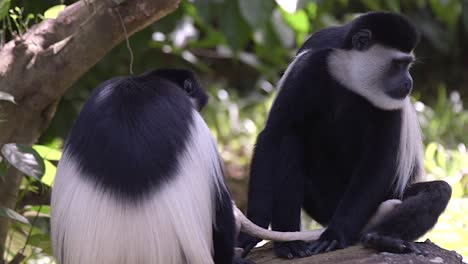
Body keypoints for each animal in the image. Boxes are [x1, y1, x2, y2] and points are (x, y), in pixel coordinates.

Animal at [239, 11, 452, 258]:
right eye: (398, 64)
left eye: (408, 65)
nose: (409, 82)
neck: (349, 76)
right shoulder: (308, 69)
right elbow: (274, 135)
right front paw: (251, 232)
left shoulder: (390, 105)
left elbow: (378, 162)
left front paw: (334, 236)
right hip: (324, 204)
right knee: (290, 141)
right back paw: (290, 243)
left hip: (382, 199)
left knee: (438, 191)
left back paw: (382, 238)